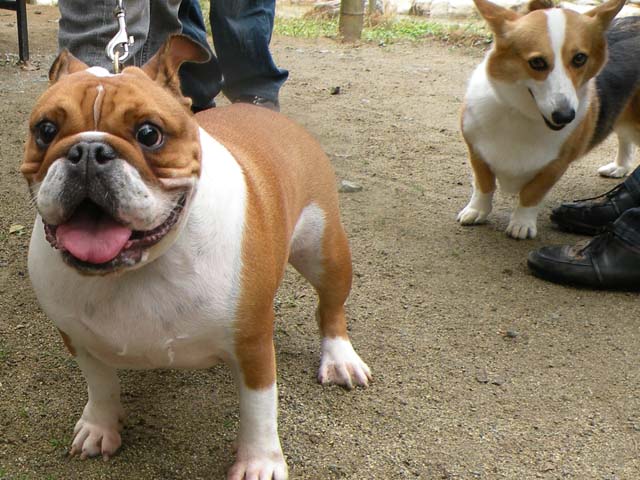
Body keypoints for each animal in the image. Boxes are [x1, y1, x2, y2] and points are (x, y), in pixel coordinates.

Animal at [21, 35, 371, 479]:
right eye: (45, 131)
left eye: (149, 133)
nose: (87, 150)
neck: (144, 265)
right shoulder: (78, 338)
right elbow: (100, 385)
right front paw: (100, 426)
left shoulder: (252, 344)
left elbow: (258, 409)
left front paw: (259, 462)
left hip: (324, 250)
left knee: (331, 306)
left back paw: (340, 358)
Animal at [457, 0, 640, 239]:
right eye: (537, 62)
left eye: (579, 58)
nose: (565, 116)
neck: (523, 114)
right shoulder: (476, 150)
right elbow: (484, 184)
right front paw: (476, 211)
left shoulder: (556, 165)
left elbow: (532, 193)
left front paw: (521, 224)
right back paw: (619, 166)